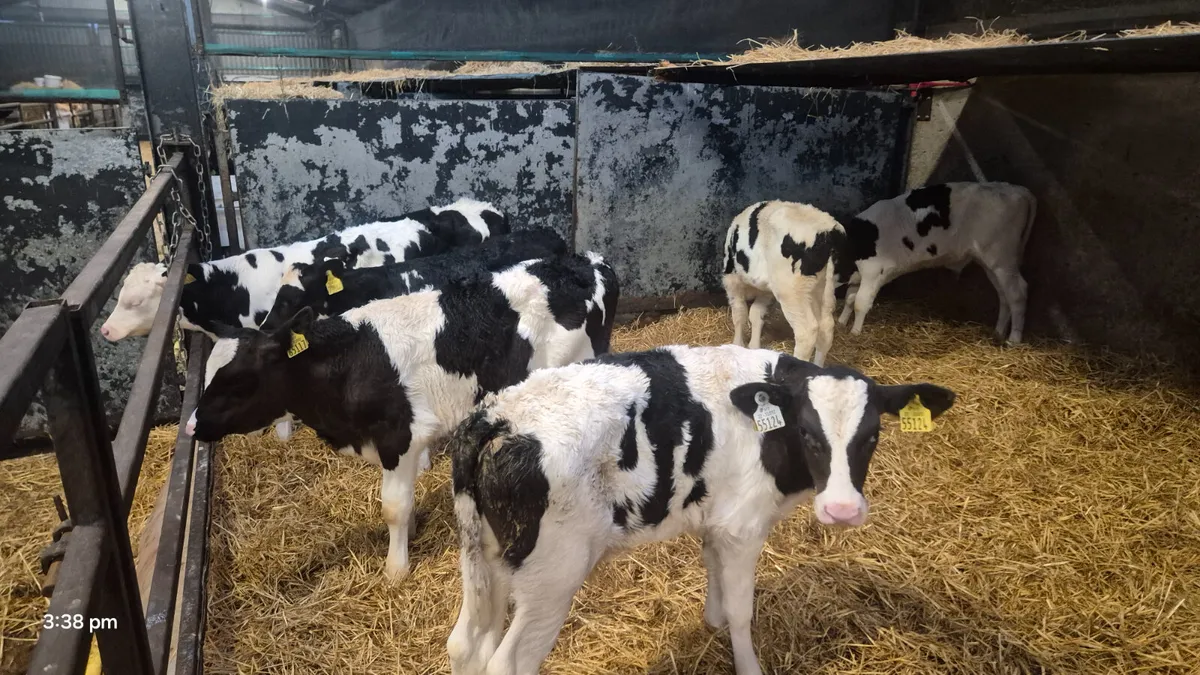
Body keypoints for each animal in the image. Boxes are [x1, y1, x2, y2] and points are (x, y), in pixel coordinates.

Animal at [184, 252, 619, 581]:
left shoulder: (400, 436)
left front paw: (397, 568)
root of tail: (589, 261)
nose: (191, 425)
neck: (353, 359)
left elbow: (393, 506)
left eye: (239, 380)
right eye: (207, 374)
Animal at [445, 344, 955, 675]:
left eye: (873, 435)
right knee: (506, 662)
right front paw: (748, 665)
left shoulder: (719, 520)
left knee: (467, 646)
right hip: (551, 574)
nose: (843, 509)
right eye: (808, 432)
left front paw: (712, 621)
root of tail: (497, 417)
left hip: (486, 557)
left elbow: (714, 575)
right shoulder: (744, 527)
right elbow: (742, 610)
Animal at [722, 201, 850, 367]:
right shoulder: (766, 291)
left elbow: (740, 314)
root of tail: (828, 229)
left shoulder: (731, 279)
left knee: (807, 332)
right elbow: (755, 313)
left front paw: (737, 344)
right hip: (822, 286)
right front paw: (754, 346)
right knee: (826, 327)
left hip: (790, 290)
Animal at [837, 182, 1037, 344]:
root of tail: (1018, 189)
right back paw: (999, 332)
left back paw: (1014, 339)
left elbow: (860, 302)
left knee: (1018, 293)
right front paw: (841, 322)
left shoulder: (872, 272)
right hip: (992, 264)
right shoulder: (857, 275)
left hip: (1002, 258)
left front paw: (855, 332)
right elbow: (849, 298)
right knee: (1004, 295)